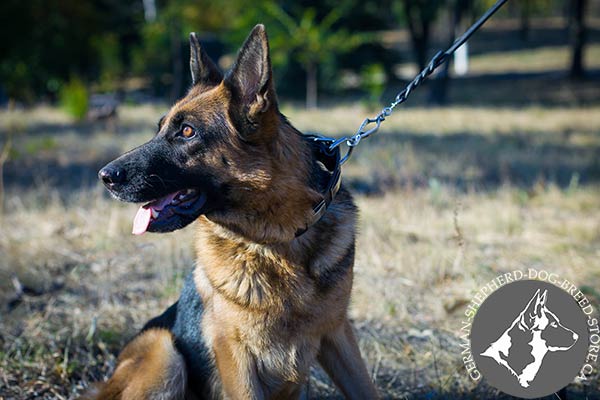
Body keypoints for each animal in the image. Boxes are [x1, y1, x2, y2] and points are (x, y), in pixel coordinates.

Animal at [87, 25, 378, 400]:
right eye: (160, 129)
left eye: (186, 131)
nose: (105, 176)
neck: (273, 243)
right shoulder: (236, 356)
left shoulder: (338, 335)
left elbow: (366, 389)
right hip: (165, 353)